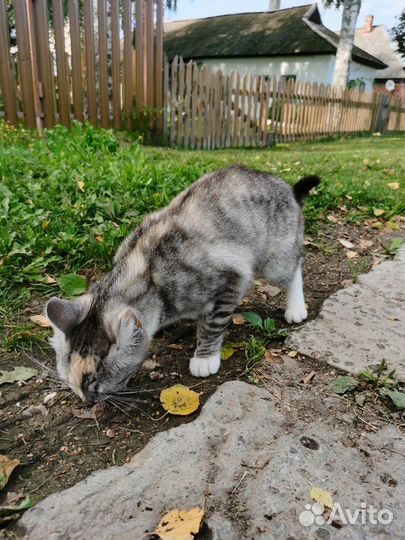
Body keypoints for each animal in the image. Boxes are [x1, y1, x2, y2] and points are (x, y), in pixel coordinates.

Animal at [46, 167, 318, 402]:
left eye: (93, 381)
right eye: (69, 380)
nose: (86, 401)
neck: (146, 273)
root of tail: (287, 189)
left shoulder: (230, 278)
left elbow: (212, 324)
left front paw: (205, 357)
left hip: (275, 259)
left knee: (295, 266)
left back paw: (295, 307)